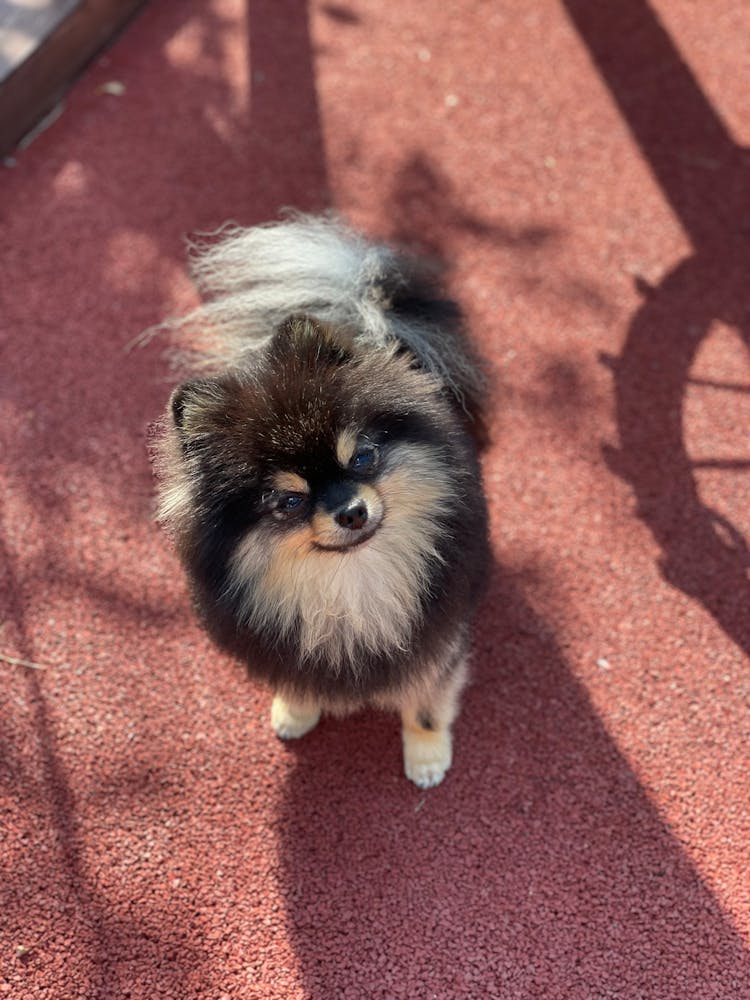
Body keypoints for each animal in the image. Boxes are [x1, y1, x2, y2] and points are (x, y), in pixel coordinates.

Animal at [156, 215, 490, 784]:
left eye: (363, 458)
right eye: (289, 502)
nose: (351, 512)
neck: (348, 579)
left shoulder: (436, 636)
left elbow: (425, 701)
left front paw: (426, 755)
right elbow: (295, 679)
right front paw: (295, 711)